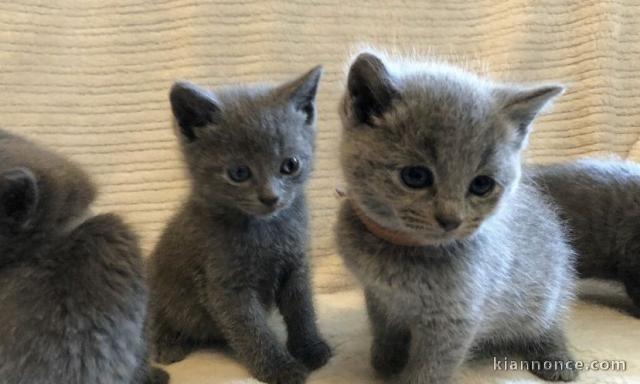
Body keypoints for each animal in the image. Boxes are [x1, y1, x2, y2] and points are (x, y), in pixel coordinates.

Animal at [149, 67, 330, 384]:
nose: (270, 197)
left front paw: (310, 348)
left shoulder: (297, 263)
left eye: (290, 165)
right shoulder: (225, 285)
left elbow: (302, 308)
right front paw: (279, 368)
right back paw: (168, 344)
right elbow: (251, 330)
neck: (265, 230)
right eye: (238, 173)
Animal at [338, 51, 576, 384]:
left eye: (481, 184)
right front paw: (386, 361)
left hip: (546, 291)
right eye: (415, 176)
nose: (450, 219)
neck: (404, 250)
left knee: (549, 321)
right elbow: (385, 329)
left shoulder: (455, 319)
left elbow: (430, 369)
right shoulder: (377, 295)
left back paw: (557, 360)